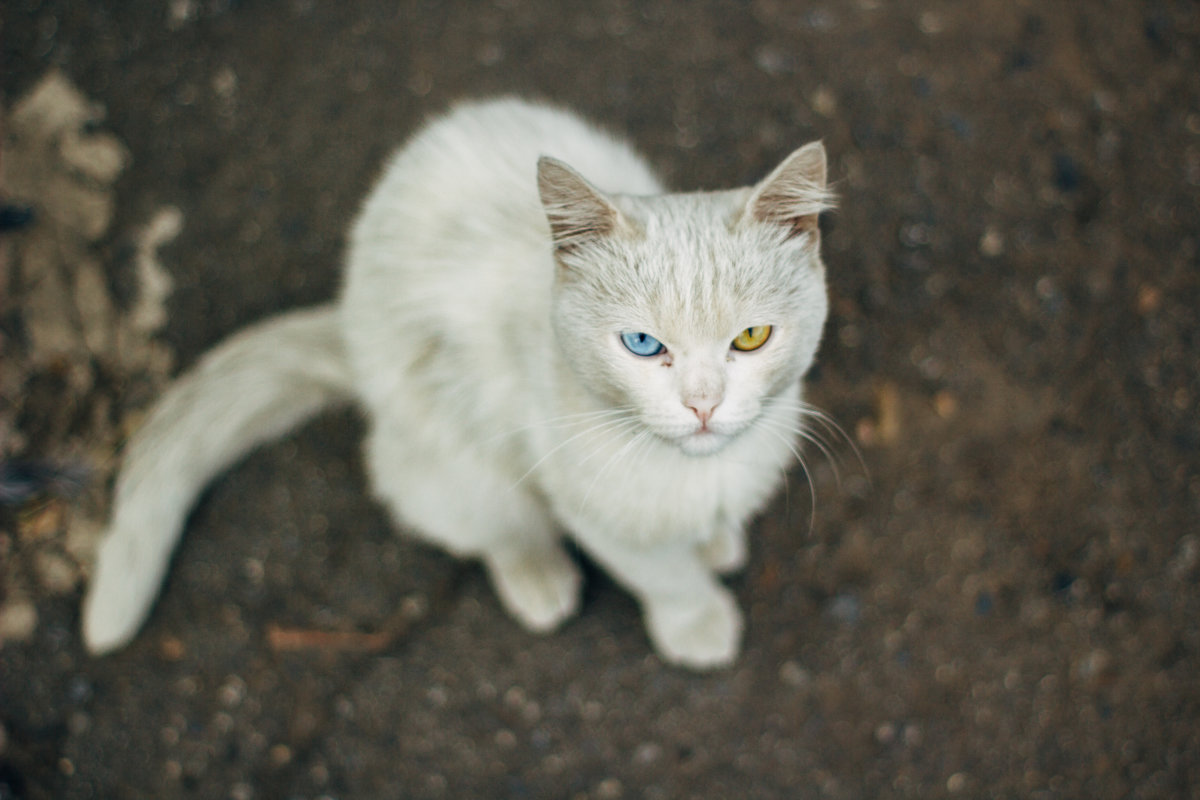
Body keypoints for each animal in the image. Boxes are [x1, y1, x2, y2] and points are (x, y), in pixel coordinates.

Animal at [82, 98, 835, 671]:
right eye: (643, 345)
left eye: (751, 338)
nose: (703, 404)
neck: (696, 473)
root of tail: (348, 326)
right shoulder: (584, 501)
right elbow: (660, 572)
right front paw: (697, 619)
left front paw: (715, 539)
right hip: (446, 446)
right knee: (479, 517)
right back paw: (535, 574)